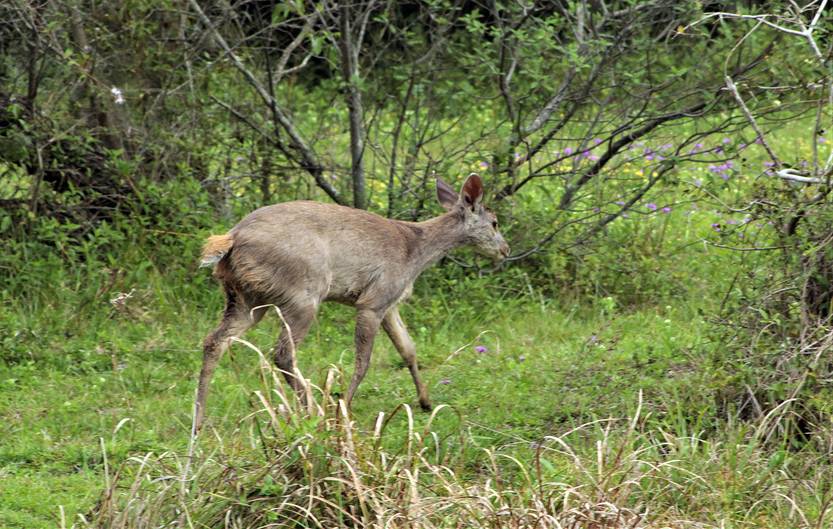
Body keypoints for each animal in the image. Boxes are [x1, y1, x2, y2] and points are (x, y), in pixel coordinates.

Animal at [195, 173, 508, 428]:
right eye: (494, 222)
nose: (505, 250)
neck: (415, 251)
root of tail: (232, 237)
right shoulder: (374, 299)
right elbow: (364, 361)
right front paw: (344, 407)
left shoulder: (390, 303)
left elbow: (408, 350)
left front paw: (425, 401)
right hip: (303, 293)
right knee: (282, 352)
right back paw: (312, 411)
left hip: (245, 298)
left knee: (214, 341)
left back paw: (199, 421)